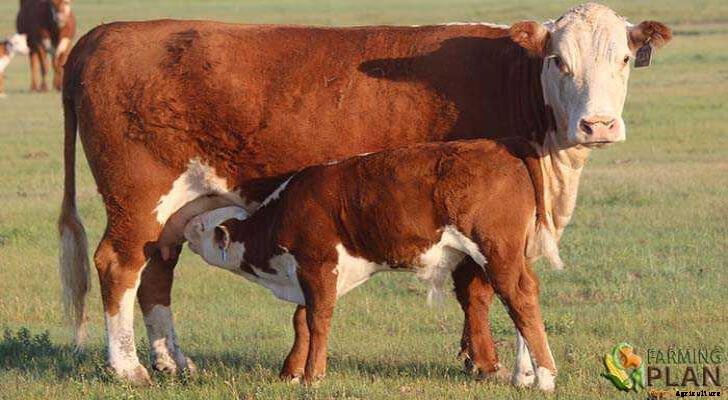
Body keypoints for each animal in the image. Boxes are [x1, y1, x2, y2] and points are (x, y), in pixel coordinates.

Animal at [183, 138, 570, 390]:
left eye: (201, 226)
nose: (184, 226)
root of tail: (501, 149)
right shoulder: (313, 273)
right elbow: (301, 319)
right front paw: (290, 371)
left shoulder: (317, 262)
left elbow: (318, 319)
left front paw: (312, 376)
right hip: (507, 253)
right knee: (523, 293)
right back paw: (525, 375)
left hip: (496, 249)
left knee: (519, 296)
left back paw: (545, 377)